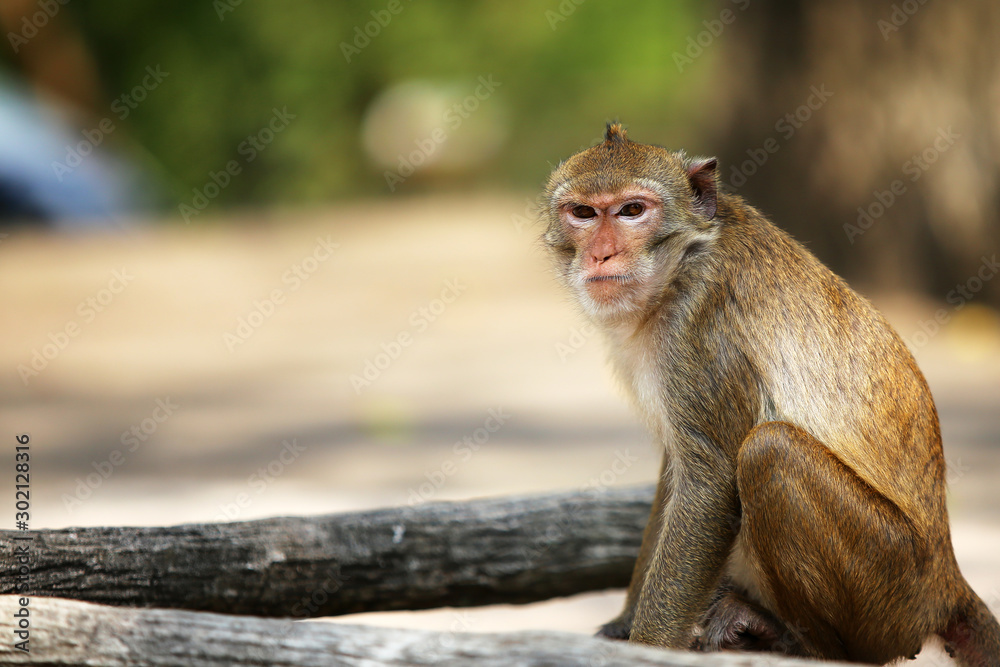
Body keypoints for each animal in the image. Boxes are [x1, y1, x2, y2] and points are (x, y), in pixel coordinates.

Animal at [541, 123, 1000, 664]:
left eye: (632, 210)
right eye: (584, 213)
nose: (602, 254)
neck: (682, 263)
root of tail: (946, 579)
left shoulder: (701, 327)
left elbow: (709, 483)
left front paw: (648, 645)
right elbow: (677, 470)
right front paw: (622, 623)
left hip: (894, 591)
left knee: (770, 451)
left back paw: (800, 641)